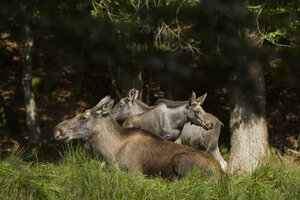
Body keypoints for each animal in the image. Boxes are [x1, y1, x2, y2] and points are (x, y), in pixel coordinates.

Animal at [53, 95, 223, 180]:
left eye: (84, 117)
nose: (57, 130)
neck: (108, 151)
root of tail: (222, 176)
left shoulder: (135, 172)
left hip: (182, 160)